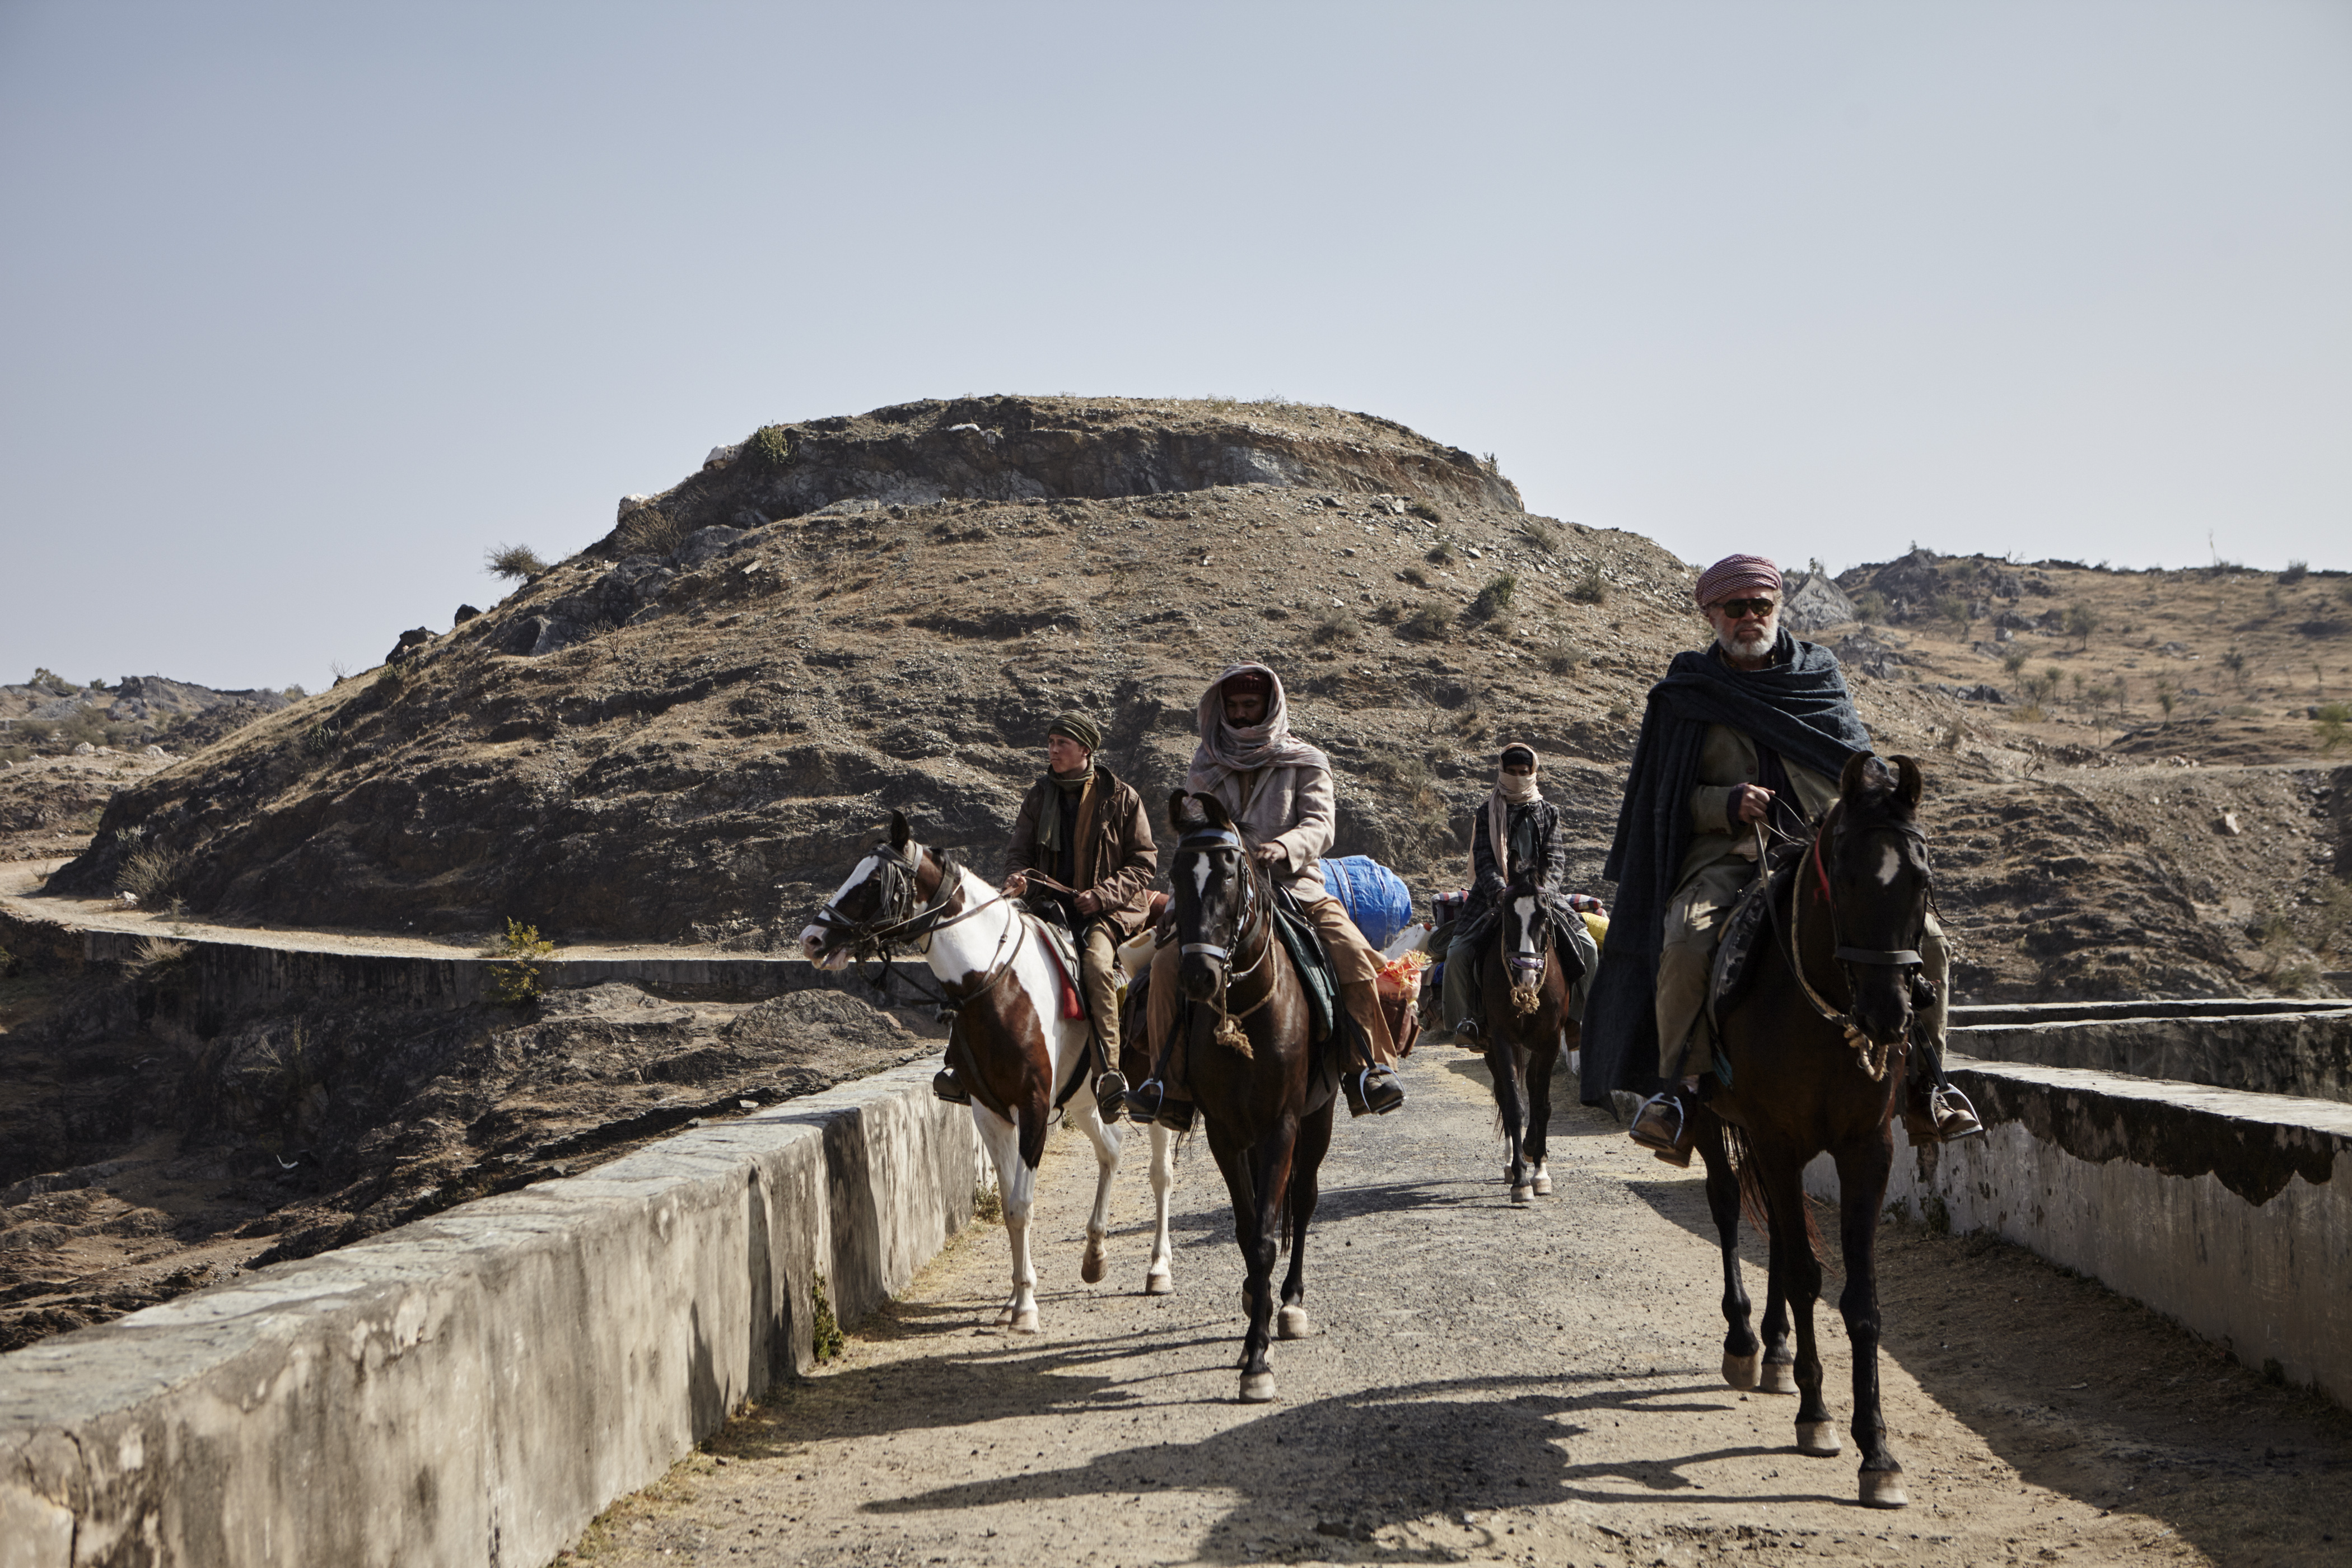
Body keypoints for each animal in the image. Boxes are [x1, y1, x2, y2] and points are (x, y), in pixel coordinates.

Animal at [809, 809, 1176, 1335]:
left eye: (876, 881)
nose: (813, 939)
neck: (994, 984)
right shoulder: (989, 1111)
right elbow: (1008, 1206)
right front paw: (1014, 1298)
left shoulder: (1034, 1109)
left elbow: (1022, 1204)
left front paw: (1025, 1309)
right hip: (1084, 1099)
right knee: (1111, 1149)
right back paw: (1094, 1255)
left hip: (1152, 1097)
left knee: (1160, 1174)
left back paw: (1159, 1268)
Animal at [1161, 790, 1336, 1401]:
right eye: (1175, 873)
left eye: (1230, 874)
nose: (1197, 978)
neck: (1245, 1012)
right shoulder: (1224, 1131)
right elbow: (1245, 1228)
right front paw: (1249, 1336)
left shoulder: (1284, 1123)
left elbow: (1265, 1234)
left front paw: (1258, 1359)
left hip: (1319, 1119)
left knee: (1302, 1201)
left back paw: (1289, 1302)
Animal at [1477, 884, 1590, 1203]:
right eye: (1507, 916)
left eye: (1544, 916)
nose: (1526, 975)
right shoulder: (1501, 1039)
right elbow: (1515, 1106)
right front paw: (1521, 1180)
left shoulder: (1549, 1041)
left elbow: (1542, 1105)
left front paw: (1540, 1172)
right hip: (1492, 1047)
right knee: (1505, 1093)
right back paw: (1512, 1162)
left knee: (1530, 1084)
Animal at [1702, 752, 1938, 1514]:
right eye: (1849, 874)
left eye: (1922, 880)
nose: (1892, 1014)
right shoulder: (1774, 1137)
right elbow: (1809, 1273)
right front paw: (1817, 1415)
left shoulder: (1868, 1147)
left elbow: (1860, 1299)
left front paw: (1879, 1454)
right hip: (1713, 1117)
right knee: (1727, 1206)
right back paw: (1746, 1341)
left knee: (1777, 1230)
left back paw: (1777, 1352)